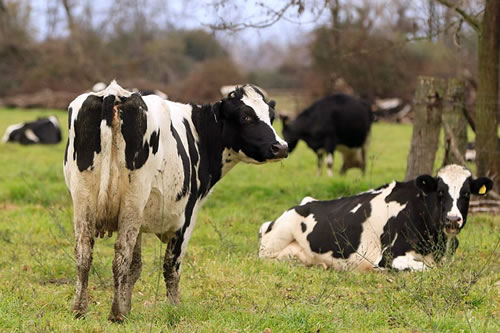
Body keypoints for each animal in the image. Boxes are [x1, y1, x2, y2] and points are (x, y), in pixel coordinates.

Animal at [64, 79, 288, 320]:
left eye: (271, 116)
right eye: (246, 116)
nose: (281, 147)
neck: (198, 133)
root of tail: (114, 93)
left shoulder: (140, 223)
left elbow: (135, 267)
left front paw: (128, 305)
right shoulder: (186, 218)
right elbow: (171, 267)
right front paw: (173, 308)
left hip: (84, 199)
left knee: (84, 254)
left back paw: (80, 309)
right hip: (133, 200)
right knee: (120, 255)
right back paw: (116, 314)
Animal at [258, 165, 492, 272]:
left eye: (466, 194)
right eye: (440, 192)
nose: (452, 220)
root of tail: (304, 202)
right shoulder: (389, 256)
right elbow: (427, 269)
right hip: (273, 243)